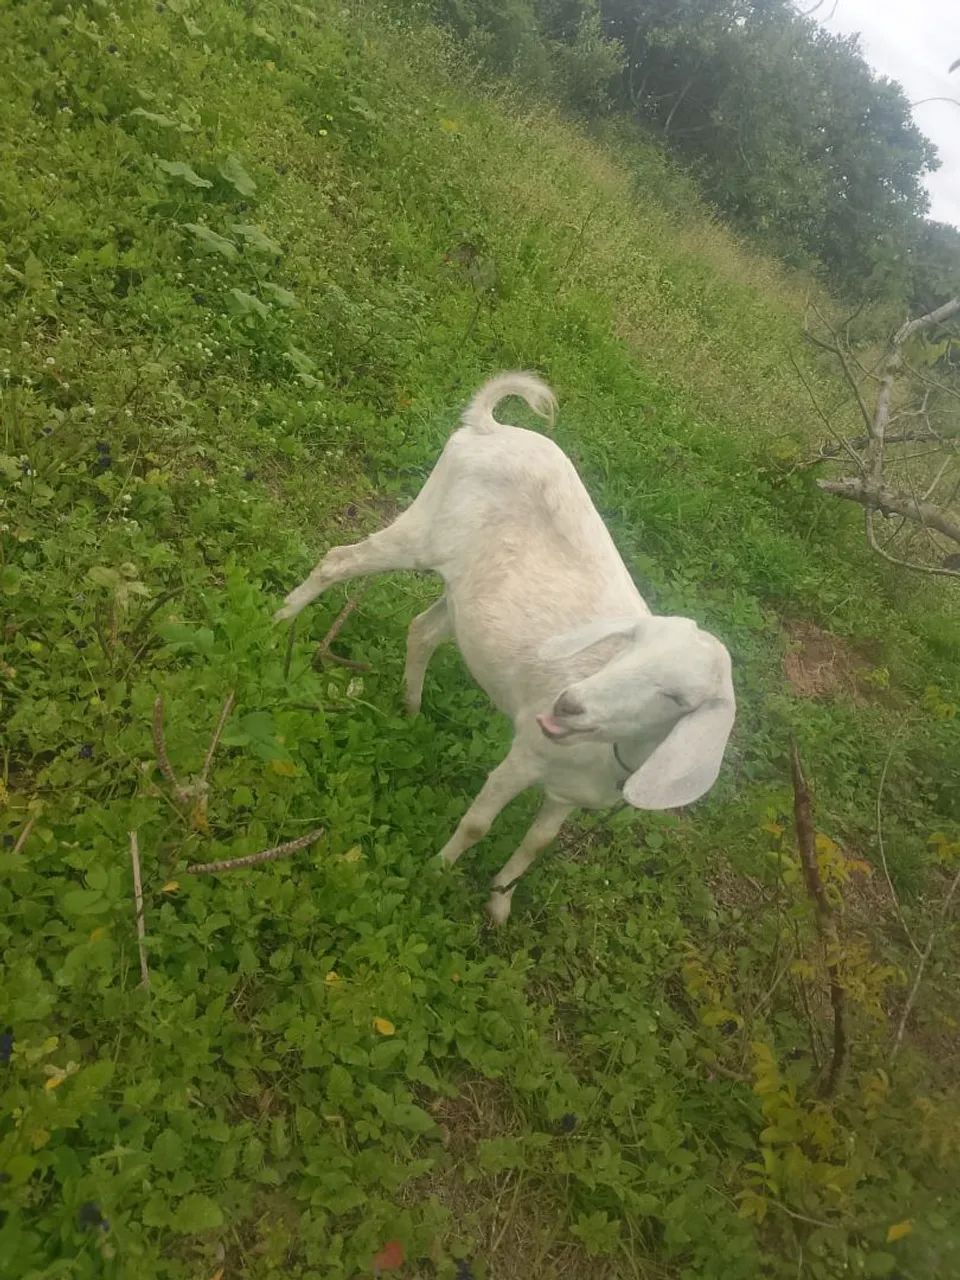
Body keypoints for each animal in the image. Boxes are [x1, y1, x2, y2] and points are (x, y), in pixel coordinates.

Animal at [275, 373, 736, 923]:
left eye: (677, 698)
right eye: (628, 647)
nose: (568, 704)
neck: (608, 758)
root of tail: (488, 429)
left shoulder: (569, 795)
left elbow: (537, 844)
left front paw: (500, 902)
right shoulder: (525, 754)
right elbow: (479, 823)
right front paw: (436, 873)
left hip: (463, 592)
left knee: (422, 629)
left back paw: (410, 709)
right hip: (423, 530)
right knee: (338, 560)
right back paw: (278, 622)